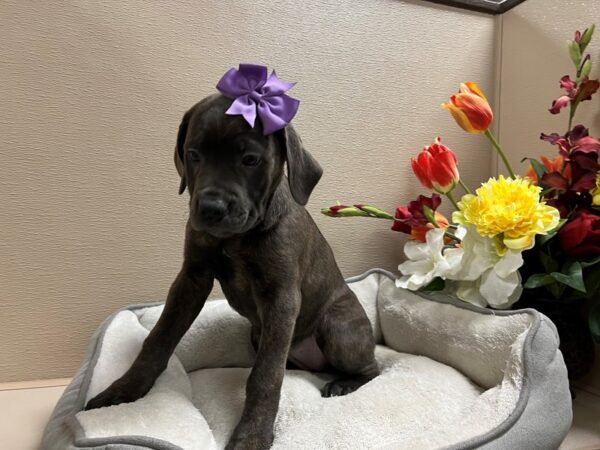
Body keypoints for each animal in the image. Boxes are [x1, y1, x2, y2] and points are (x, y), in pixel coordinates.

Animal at [86, 95, 378, 450]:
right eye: (193, 154)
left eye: (250, 159)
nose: (211, 209)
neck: (237, 238)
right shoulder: (191, 278)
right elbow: (158, 338)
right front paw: (124, 390)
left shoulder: (281, 298)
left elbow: (265, 377)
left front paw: (251, 436)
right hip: (258, 332)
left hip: (337, 328)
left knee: (372, 368)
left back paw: (344, 383)